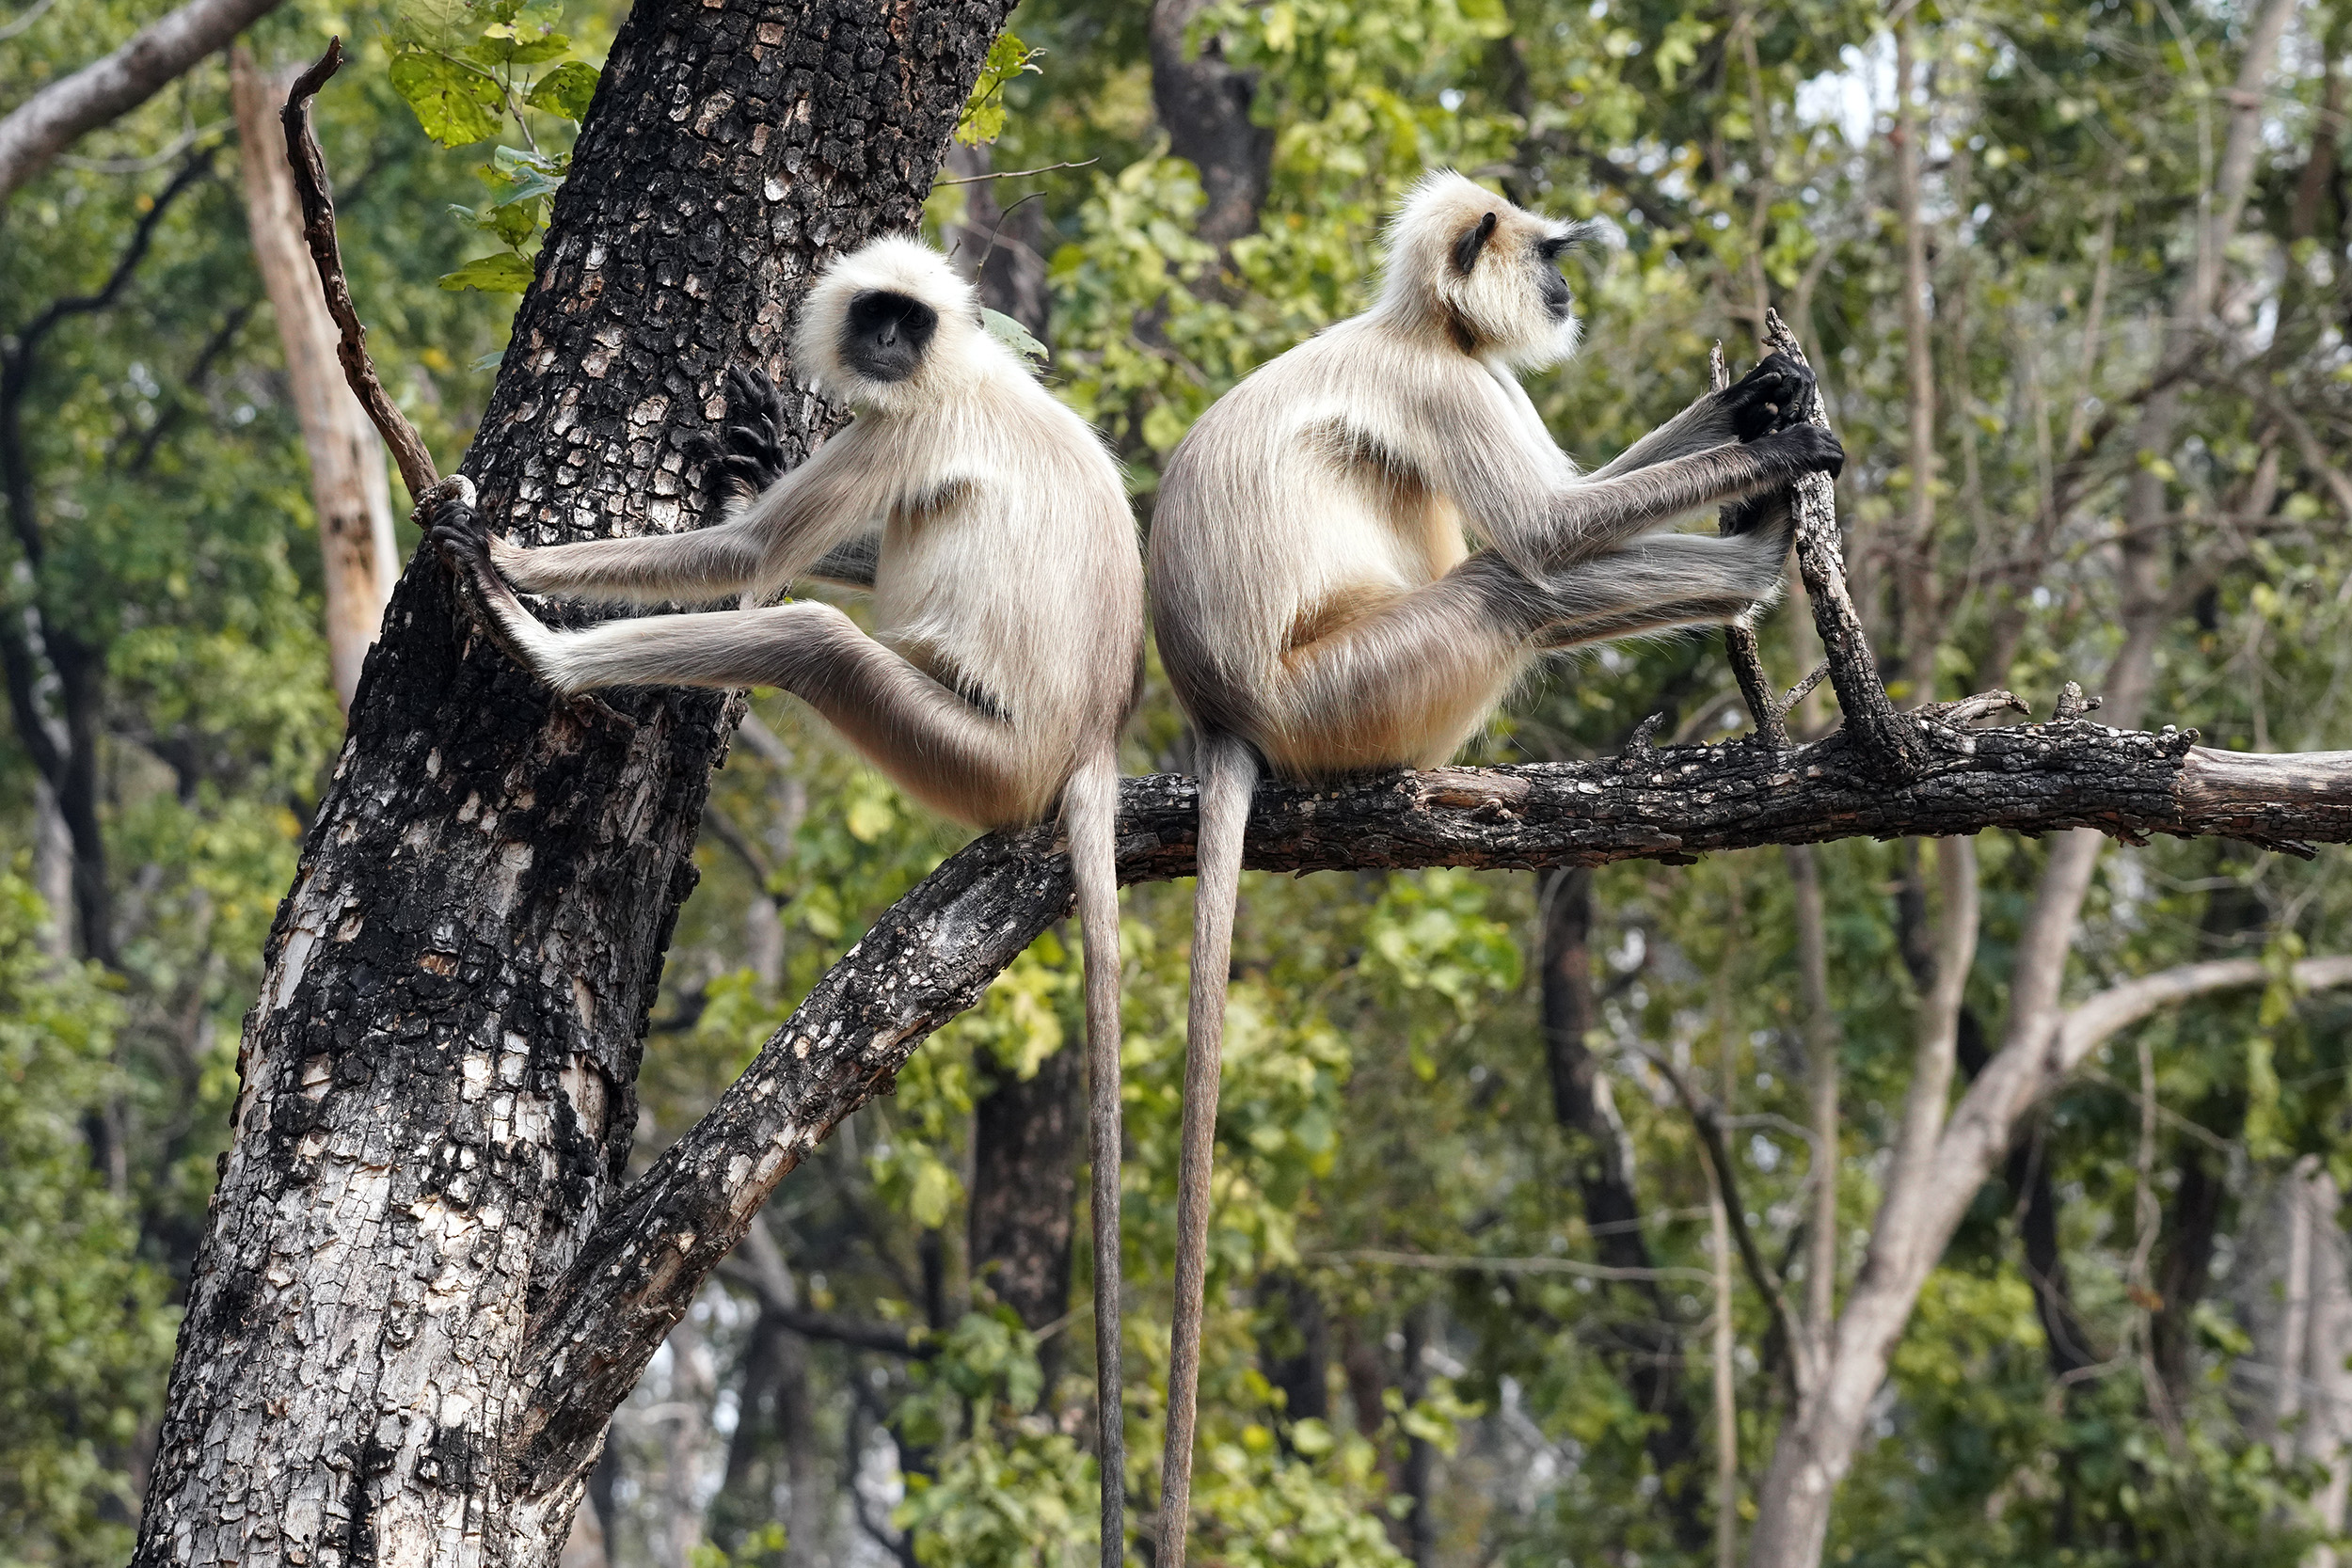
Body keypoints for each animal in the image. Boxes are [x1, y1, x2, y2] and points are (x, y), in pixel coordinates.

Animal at [423, 235, 1144, 1568]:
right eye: (878, 316)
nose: (887, 349)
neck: (958, 370)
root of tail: (1085, 744)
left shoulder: (902, 430)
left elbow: (750, 560)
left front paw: (499, 558)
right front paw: (751, 455)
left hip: (966, 751)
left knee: (808, 628)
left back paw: (540, 651)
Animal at [1139, 170, 1841, 1565]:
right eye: (1550, 251)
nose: (1567, 287)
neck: (1422, 325)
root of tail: (1223, 711)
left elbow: (1572, 496)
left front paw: (1756, 401)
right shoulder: (1445, 384)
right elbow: (1551, 524)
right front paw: (1777, 455)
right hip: (1358, 687)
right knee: (1519, 582)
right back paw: (1746, 558)